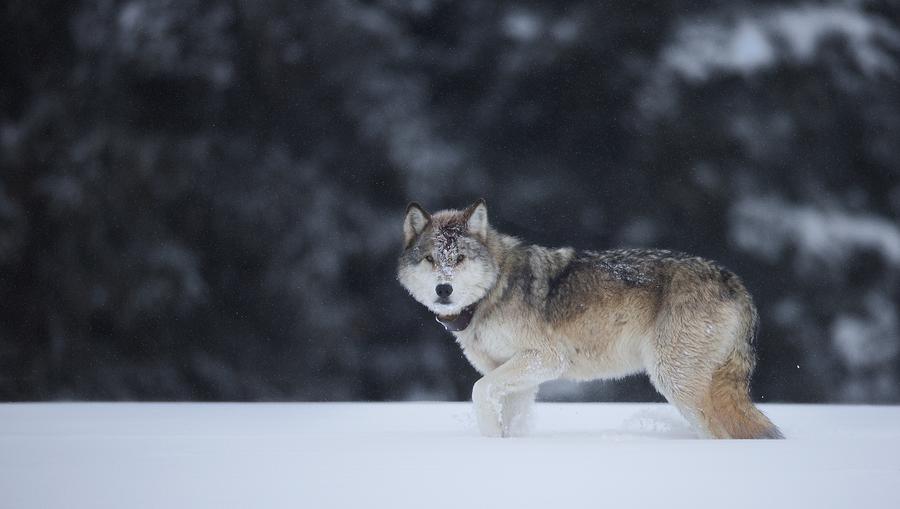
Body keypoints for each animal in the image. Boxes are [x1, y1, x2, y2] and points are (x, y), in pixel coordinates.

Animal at [398, 197, 784, 436]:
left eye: (459, 258)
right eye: (431, 259)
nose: (443, 289)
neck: (493, 291)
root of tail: (733, 281)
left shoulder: (546, 359)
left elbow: (479, 391)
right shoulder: (518, 376)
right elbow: (510, 418)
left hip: (674, 381)